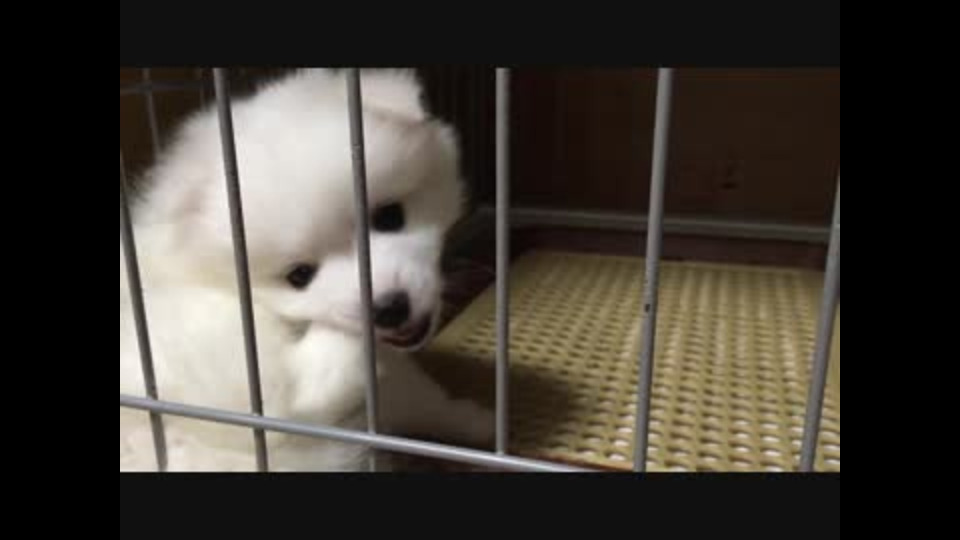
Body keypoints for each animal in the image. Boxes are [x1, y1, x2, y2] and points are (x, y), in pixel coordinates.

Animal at [121, 68, 494, 472]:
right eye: (299, 275)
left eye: (390, 217)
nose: (390, 308)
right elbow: (307, 388)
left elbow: (423, 398)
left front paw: (476, 422)